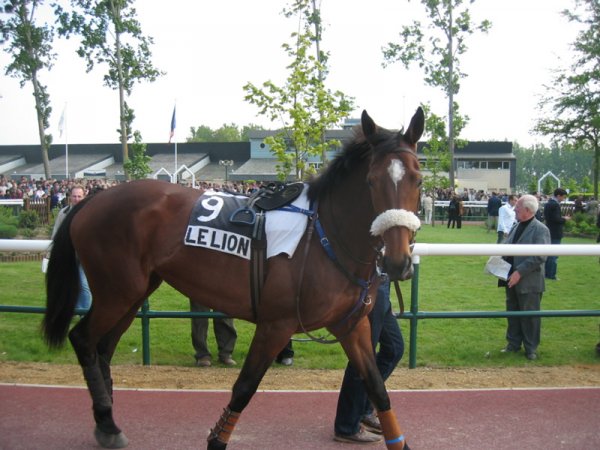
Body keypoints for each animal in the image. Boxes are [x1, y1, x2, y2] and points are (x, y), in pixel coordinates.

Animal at [42, 107, 424, 448]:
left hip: (133, 294)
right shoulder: (276, 325)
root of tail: (93, 198)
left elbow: (377, 388)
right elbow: (244, 388)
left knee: (103, 348)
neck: (325, 236)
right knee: (83, 339)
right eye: (371, 181)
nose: (397, 262)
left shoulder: (351, 326)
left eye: (418, 179)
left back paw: (106, 421)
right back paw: (106, 421)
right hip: (116, 292)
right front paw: (217, 438)